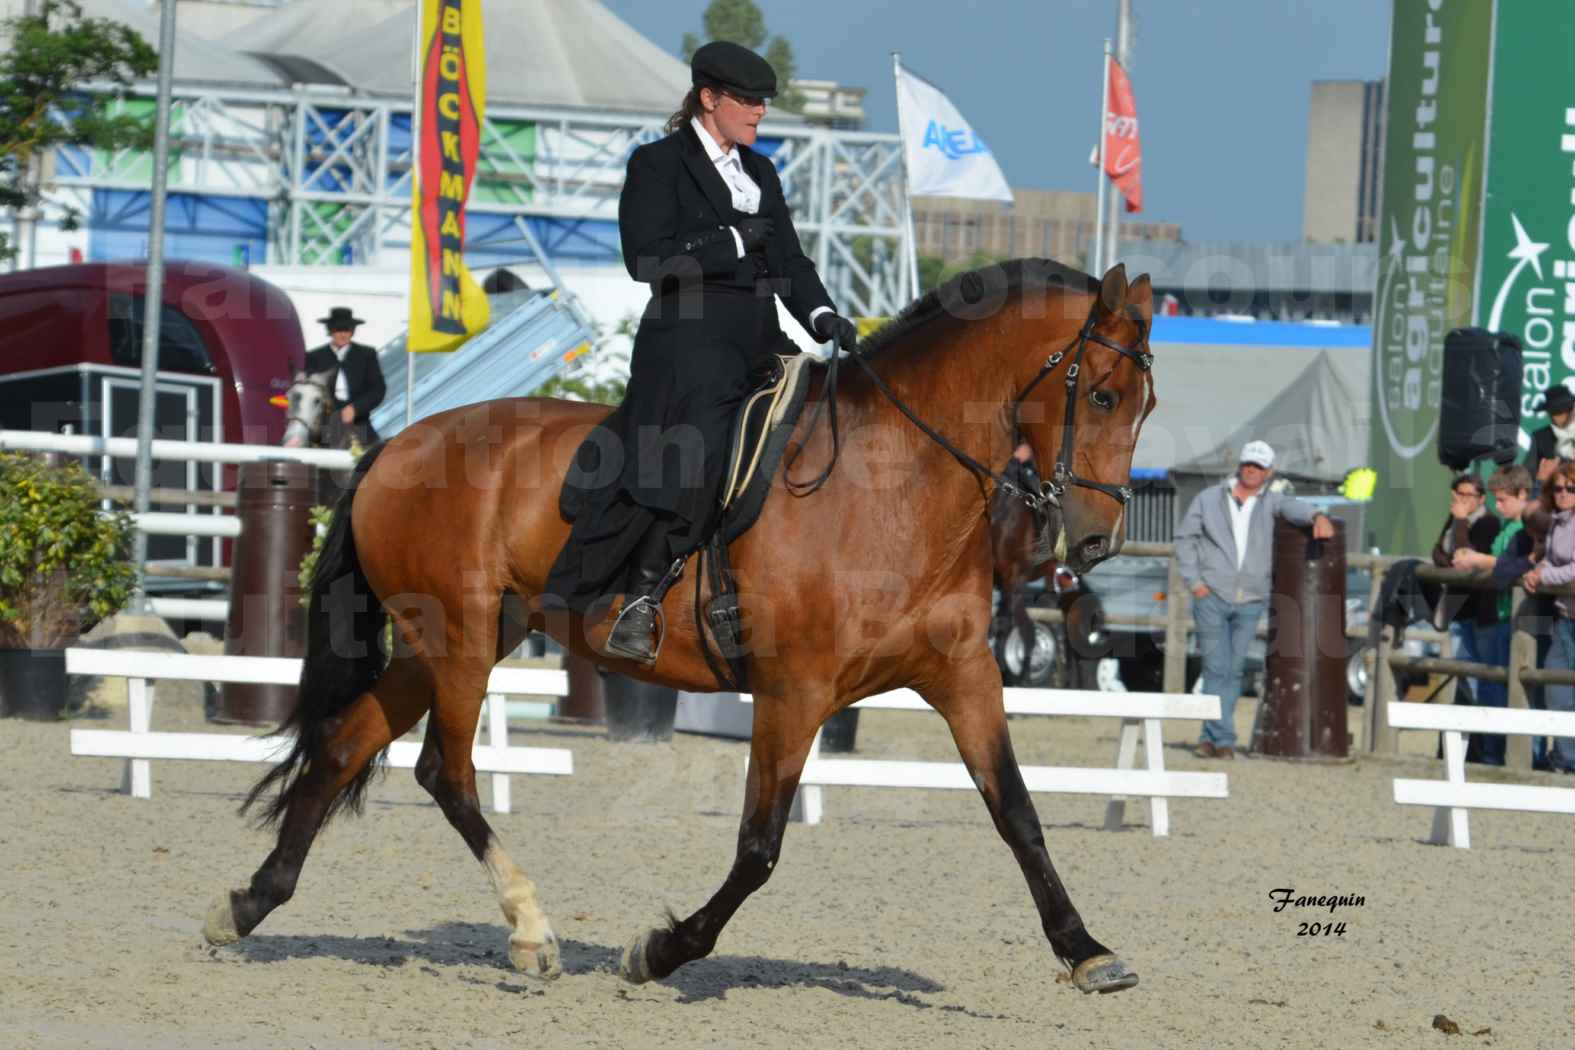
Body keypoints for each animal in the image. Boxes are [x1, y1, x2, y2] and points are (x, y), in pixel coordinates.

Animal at [203, 258, 1159, 1001]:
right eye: (1102, 393)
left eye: (1145, 407)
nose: (1096, 541)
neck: (895, 485)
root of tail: (396, 446)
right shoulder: (794, 692)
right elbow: (759, 848)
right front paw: (658, 951)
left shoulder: (962, 679)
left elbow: (1018, 815)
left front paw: (1088, 953)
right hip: (462, 640)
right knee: (447, 770)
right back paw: (531, 931)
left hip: (442, 642)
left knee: (345, 743)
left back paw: (247, 904)